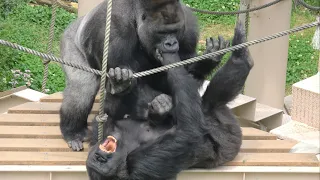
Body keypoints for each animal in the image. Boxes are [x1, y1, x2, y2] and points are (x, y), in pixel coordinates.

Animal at [58, 0, 228, 151]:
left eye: (174, 31)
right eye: (162, 33)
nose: (171, 44)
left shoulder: (188, 28)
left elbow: (186, 75)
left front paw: (209, 59)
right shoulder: (113, 30)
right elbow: (128, 87)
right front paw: (157, 111)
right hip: (70, 41)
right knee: (82, 89)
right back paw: (73, 132)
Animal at [86, 22, 254, 180]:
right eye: (100, 161)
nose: (100, 155)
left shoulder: (103, 132)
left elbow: (109, 112)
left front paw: (119, 83)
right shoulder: (141, 163)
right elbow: (188, 132)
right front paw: (170, 56)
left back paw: (222, 53)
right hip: (229, 134)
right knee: (212, 101)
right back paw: (241, 57)